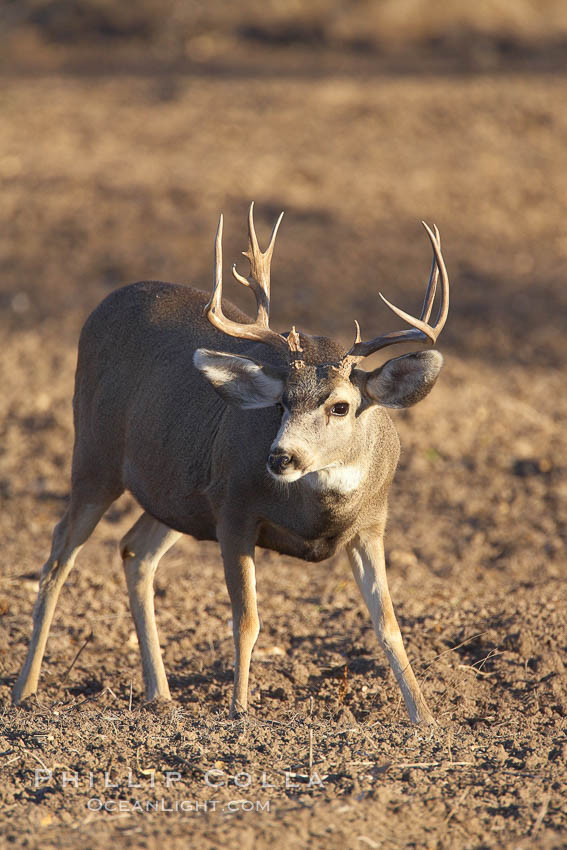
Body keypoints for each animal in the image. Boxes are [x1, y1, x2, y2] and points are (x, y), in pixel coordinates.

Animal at [12, 205, 448, 724]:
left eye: (341, 406)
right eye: (280, 403)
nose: (280, 457)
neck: (316, 509)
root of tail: (105, 302)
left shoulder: (370, 526)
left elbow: (388, 624)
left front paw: (425, 719)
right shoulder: (236, 509)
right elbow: (247, 620)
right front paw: (240, 709)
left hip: (179, 495)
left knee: (135, 549)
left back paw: (160, 694)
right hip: (95, 456)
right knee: (59, 556)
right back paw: (25, 691)